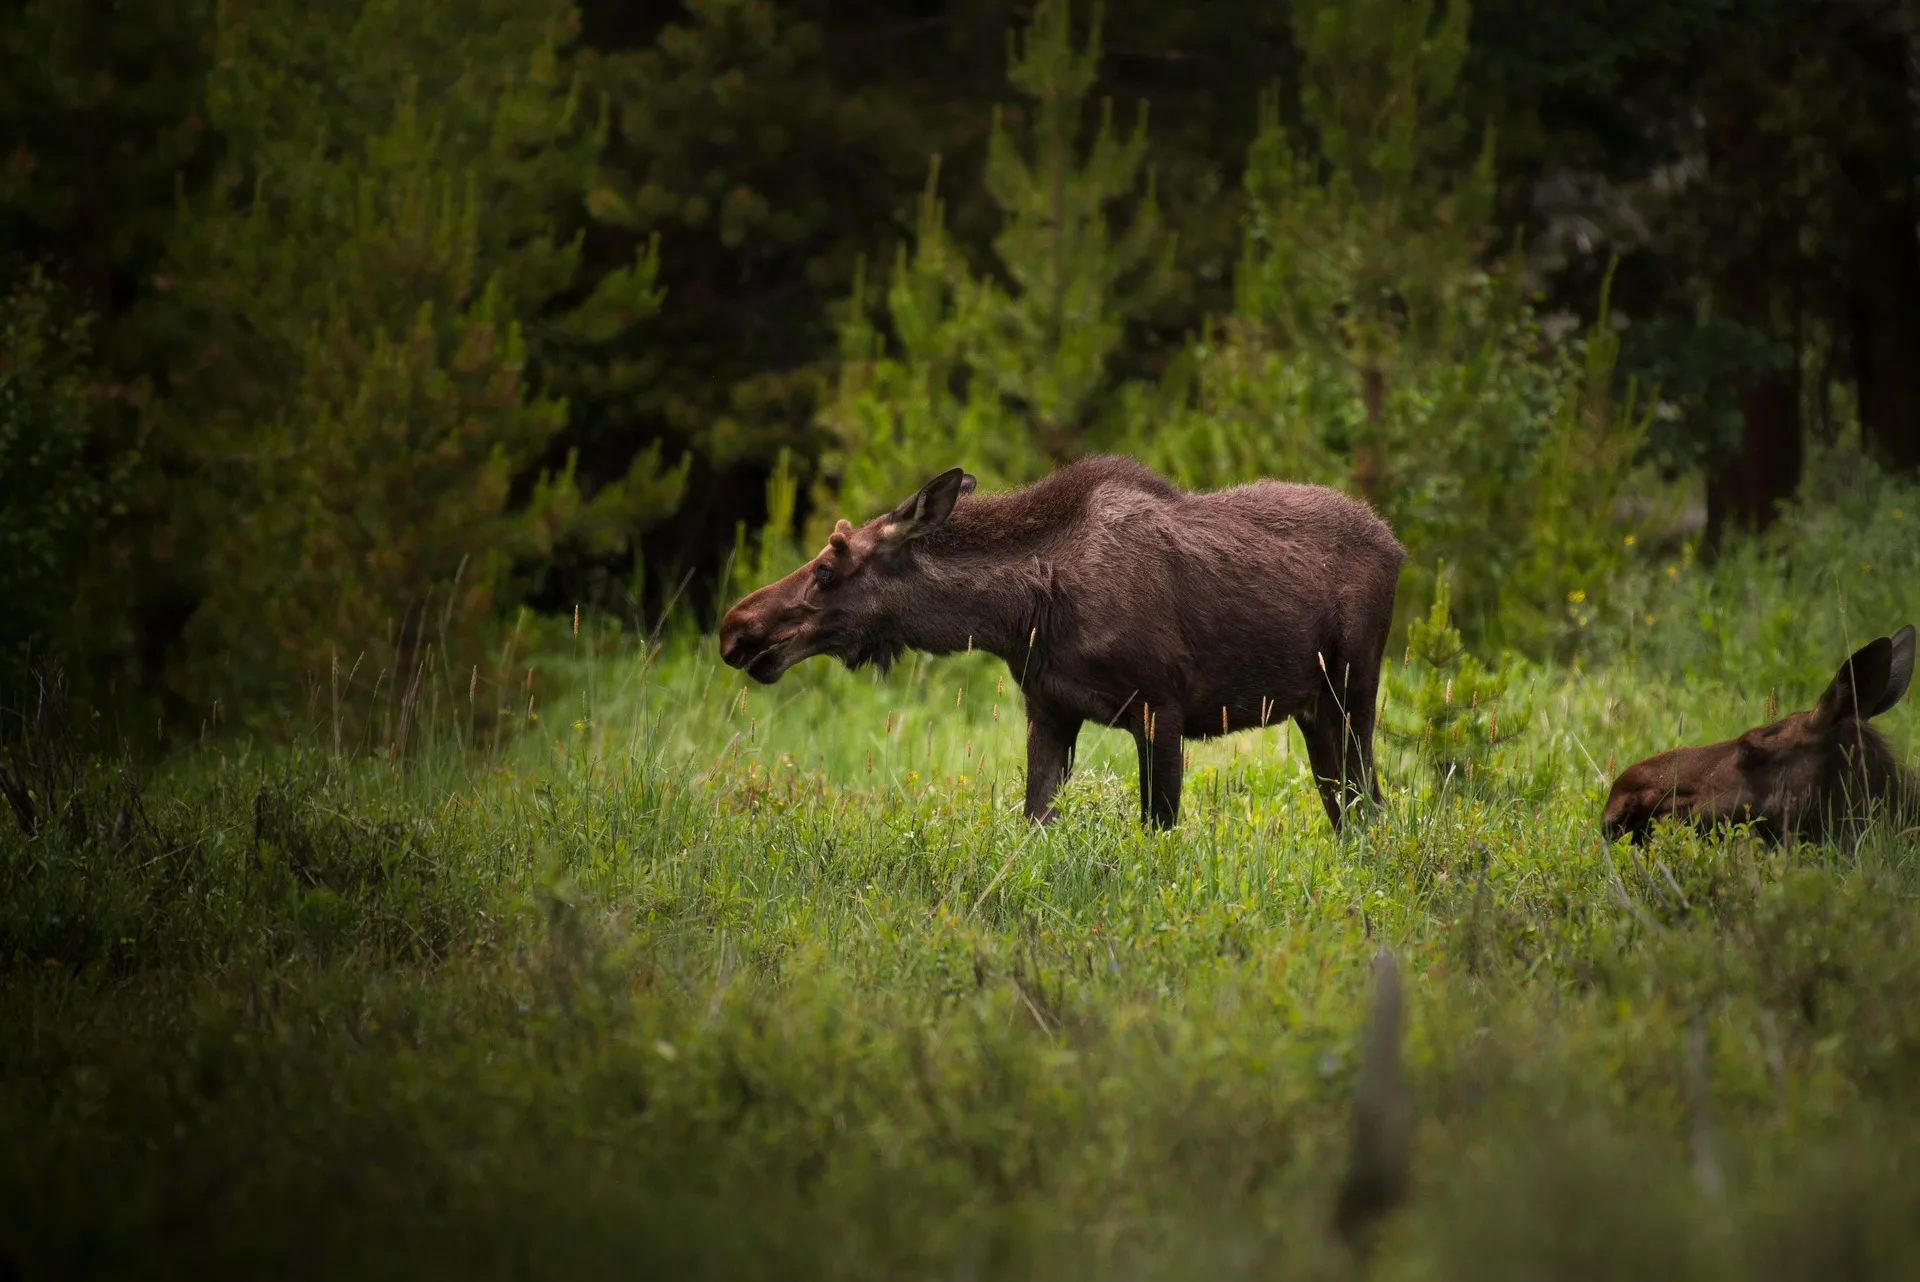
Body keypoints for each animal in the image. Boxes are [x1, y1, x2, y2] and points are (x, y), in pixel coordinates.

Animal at [718, 455, 1406, 831]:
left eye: (827, 569)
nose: (736, 629)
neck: (1021, 612)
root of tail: (1397, 545)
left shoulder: (1161, 709)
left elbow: (1157, 830)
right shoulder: (1048, 709)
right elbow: (1034, 823)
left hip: (1354, 690)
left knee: (1370, 805)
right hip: (1315, 709)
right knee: (1348, 810)